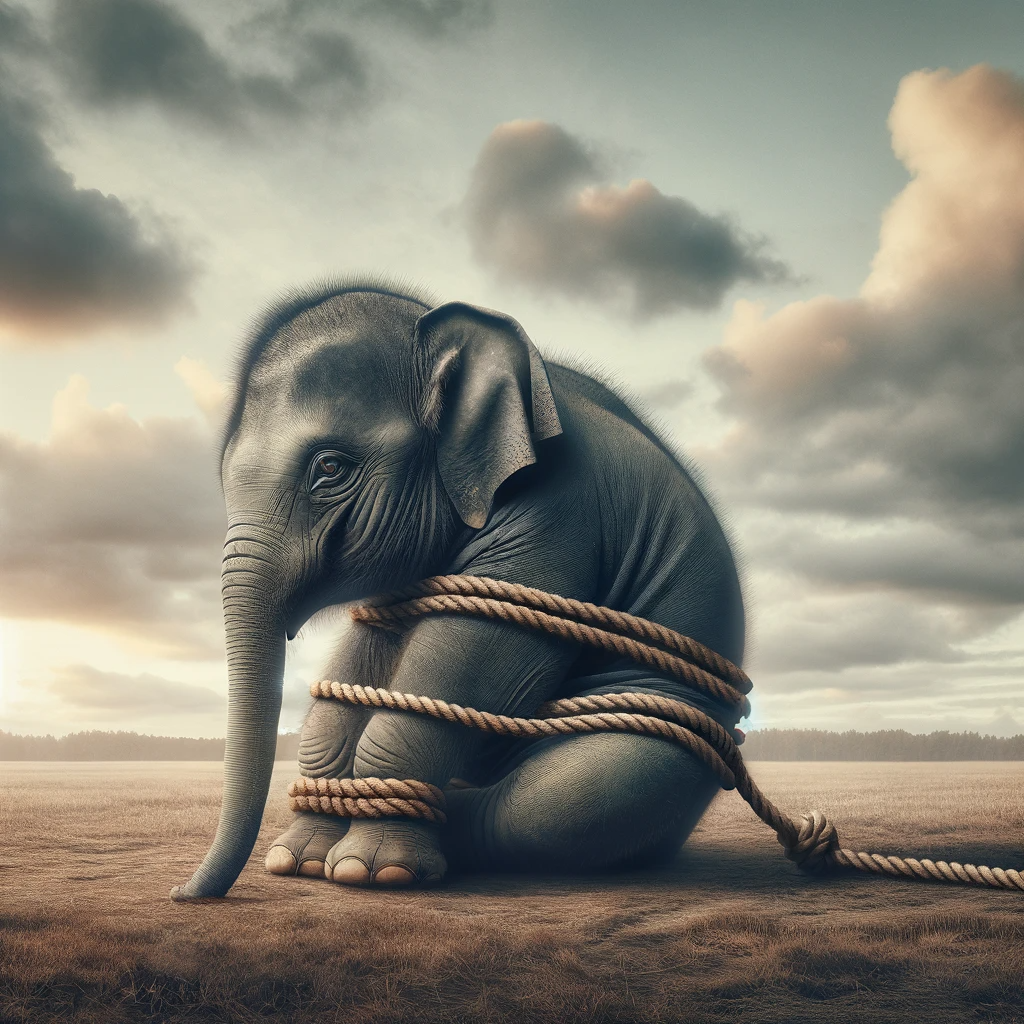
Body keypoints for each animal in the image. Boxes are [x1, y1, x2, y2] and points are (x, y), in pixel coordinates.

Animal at [172, 279, 745, 899]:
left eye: (330, 468)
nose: (183, 895)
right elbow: (361, 661)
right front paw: (297, 860)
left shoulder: (555, 516)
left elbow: (471, 662)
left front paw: (366, 871)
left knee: (557, 806)